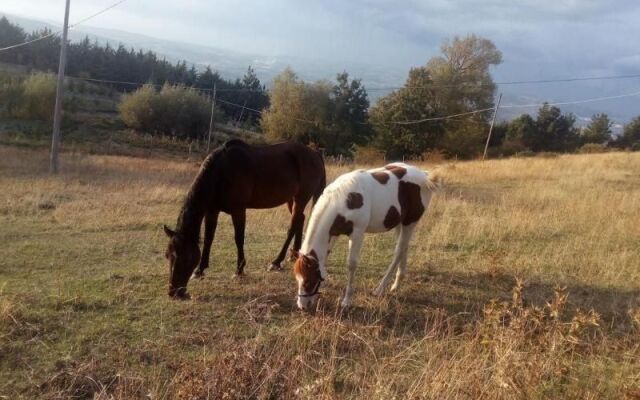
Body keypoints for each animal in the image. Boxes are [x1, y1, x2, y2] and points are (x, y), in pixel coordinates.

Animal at [162, 139, 328, 298]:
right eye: (168, 255)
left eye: (185, 258)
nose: (173, 292)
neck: (221, 171)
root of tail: (315, 153)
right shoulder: (212, 211)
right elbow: (209, 239)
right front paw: (200, 270)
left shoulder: (238, 210)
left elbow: (239, 238)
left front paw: (239, 270)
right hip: (291, 200)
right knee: (300, 220)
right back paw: (294, 255)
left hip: (301, 198)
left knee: (293, 225)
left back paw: (276, 262)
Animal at [292, 162, 438, 310]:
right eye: (297, 278)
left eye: (308, 281)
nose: (302, 306)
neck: (343, 200)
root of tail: (424, 175)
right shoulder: (334, 233)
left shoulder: (357, 233)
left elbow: (351, 264)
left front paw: (347, 301)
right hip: (400, 223)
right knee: (404, 248)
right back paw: (396, 285)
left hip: (410, 222)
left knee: (399, 251)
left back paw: (380, 289)